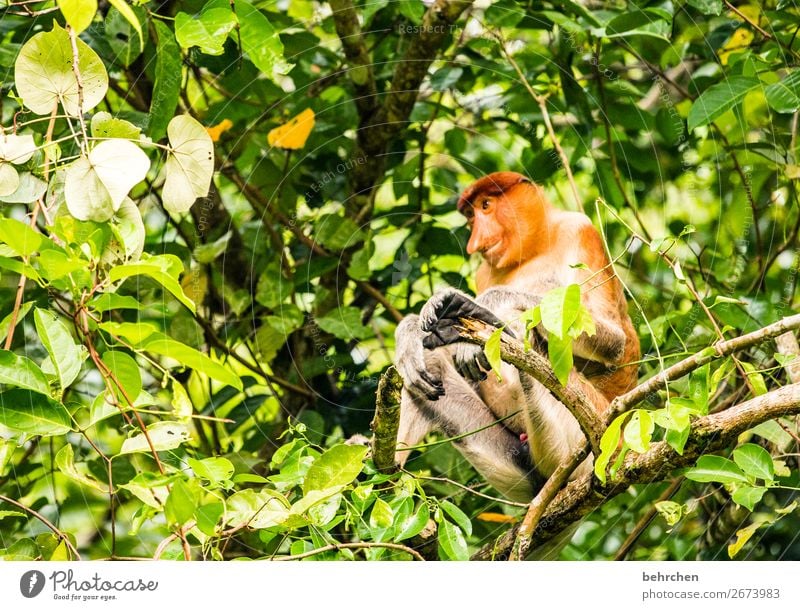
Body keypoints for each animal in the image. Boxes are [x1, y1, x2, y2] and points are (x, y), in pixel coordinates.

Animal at [392, 170, 636, 498]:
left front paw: (482, 305)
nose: (475, 242)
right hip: (512, 457)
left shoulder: (580, 231)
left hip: (591, 437)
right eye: (470, 216)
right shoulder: (484, 271)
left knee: (527, 336)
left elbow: (614, 341)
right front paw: (416, 330)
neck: (534, 250)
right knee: (429, 367)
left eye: (486, 205)